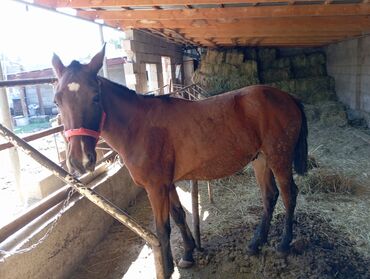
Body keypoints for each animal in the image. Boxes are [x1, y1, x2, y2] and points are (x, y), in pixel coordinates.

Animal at [51, 47, 306, 278]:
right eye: (57, 100)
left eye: (95, 96)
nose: (80, 160)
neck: (139, 126)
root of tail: (288, 97)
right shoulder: (167, 184)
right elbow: (179, 215)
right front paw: (188, 254)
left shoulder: (155, 188)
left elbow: (162, 228)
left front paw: (167, 267)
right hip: (261, 160)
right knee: (269, 196)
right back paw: (255, 243)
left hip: (279, 158)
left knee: (289, 194)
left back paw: (283, 244)